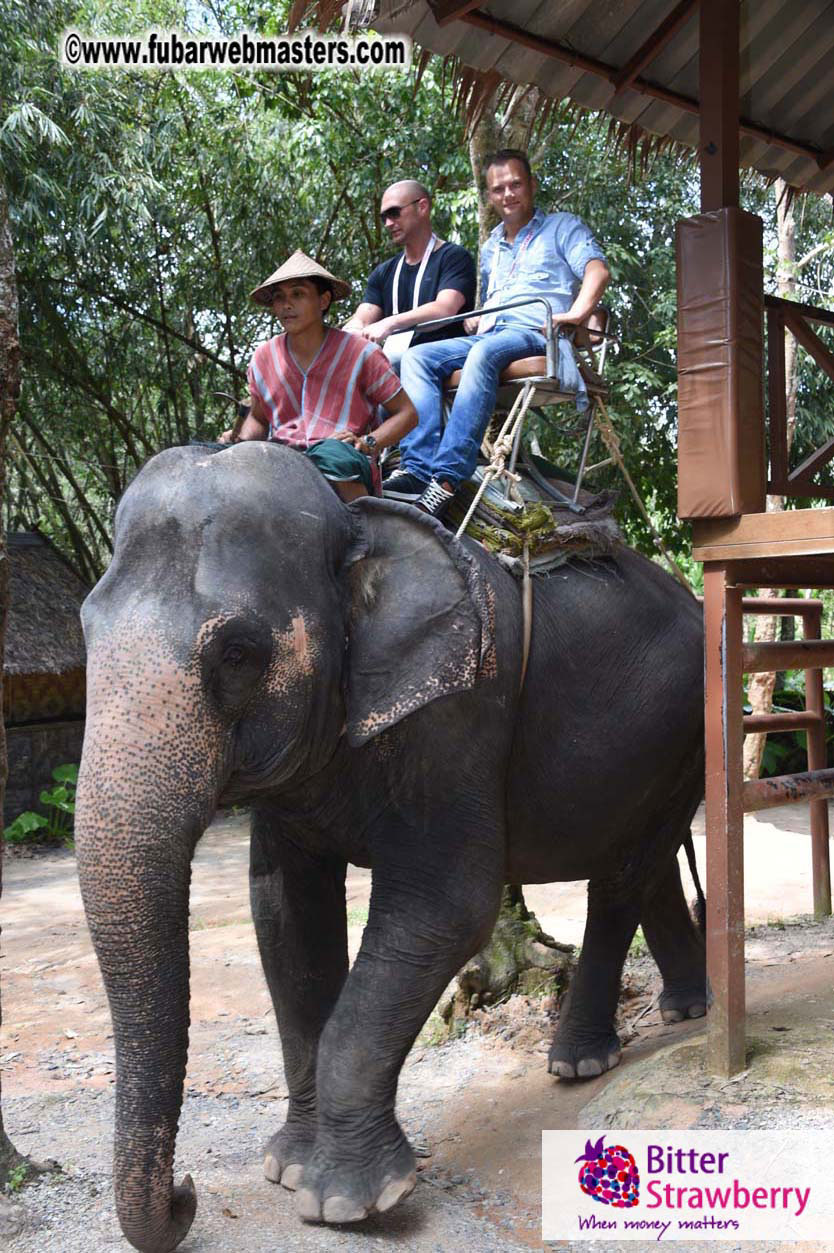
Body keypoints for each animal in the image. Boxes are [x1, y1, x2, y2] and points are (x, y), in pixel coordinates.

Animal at [75, 440, 706, 1252]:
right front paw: (287, 1166)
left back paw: (578, 1062)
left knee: (623, 876)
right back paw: (684, 1011)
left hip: (686, 721)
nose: (185, 1193)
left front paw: (350, 1202)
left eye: (238, 653)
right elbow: (282, 912)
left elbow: (446, 906)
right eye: (85, 629)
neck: (355, 522)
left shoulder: (458, 712)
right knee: (647, 862)